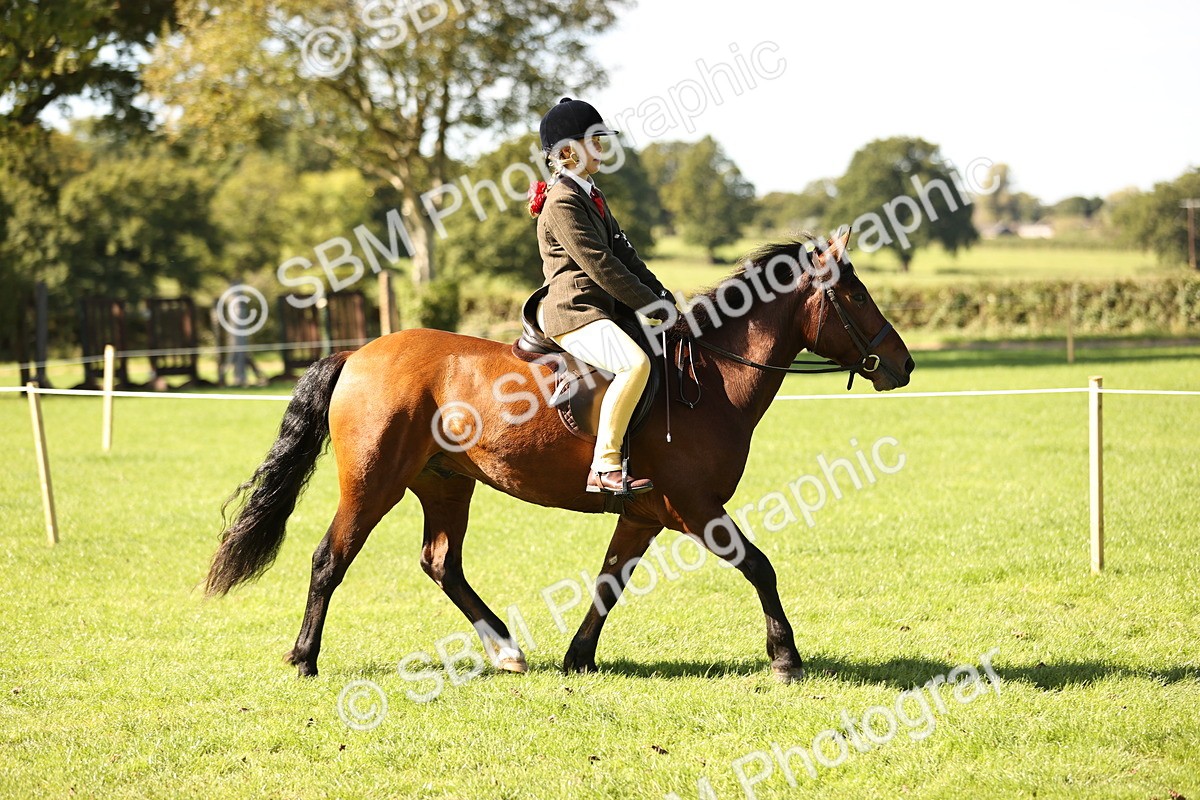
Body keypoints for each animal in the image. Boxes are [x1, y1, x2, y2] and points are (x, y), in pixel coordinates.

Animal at [204, 230, 915, 681]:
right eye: (855, 296)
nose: (902, 365)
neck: (711, 378)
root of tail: (358, 353)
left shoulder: (646, 513)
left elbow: (608, 582)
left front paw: (579, 657)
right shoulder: (695, 507)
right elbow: (760, 566)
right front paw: (786, 659)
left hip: (445, 484)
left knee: (442, 563)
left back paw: (506, 652)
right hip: (372, 483)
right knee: (330, 559)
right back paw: (304, 658)